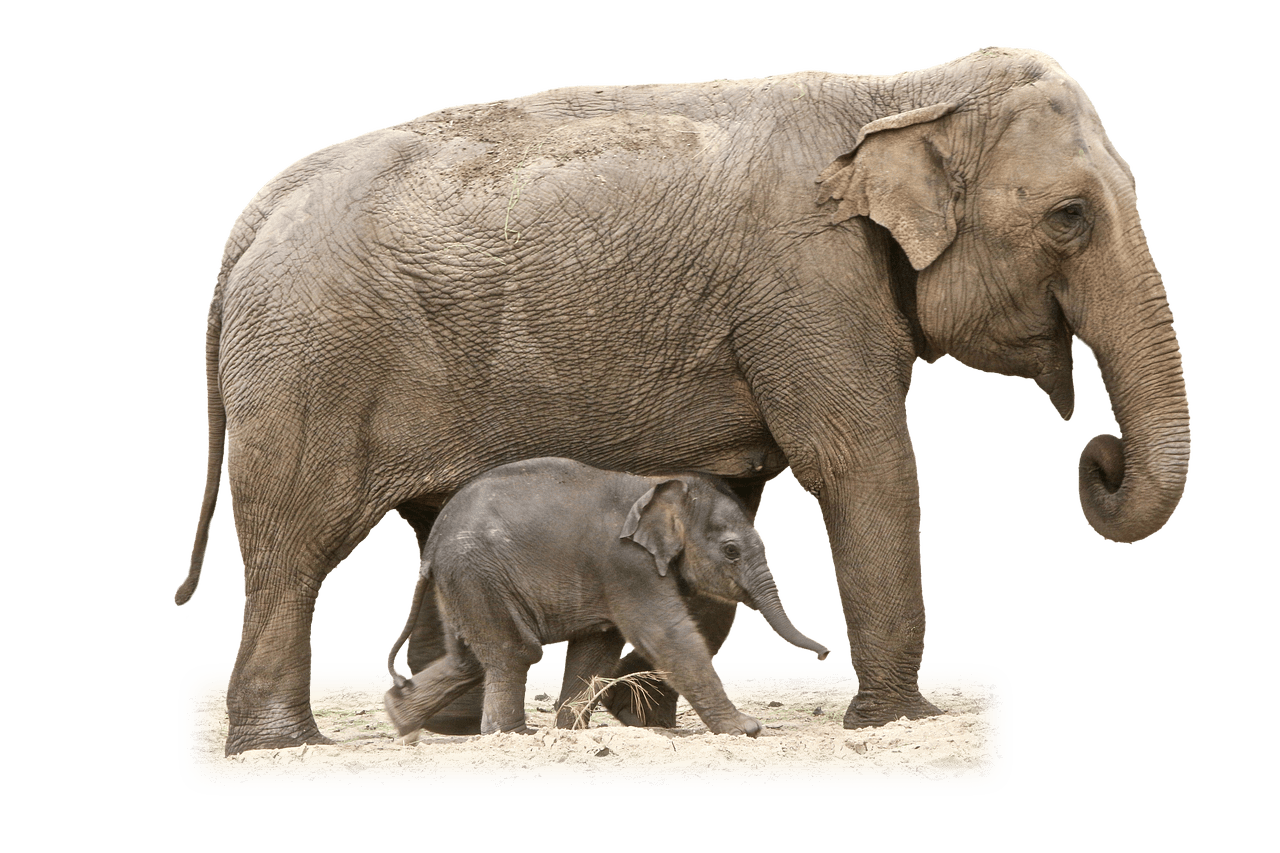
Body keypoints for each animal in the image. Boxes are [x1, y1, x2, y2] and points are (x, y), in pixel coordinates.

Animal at [381, 457, 831, 738]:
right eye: (732, 551)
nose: (826, 654)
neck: (658, 485)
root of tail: (431, 550)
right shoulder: (625, 565)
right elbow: (666, 635)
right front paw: (746, 730)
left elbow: (597, 648)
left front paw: (570, 733)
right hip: (478, 574)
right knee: (514, 652)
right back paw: (511, 735)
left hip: (463, 581)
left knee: (470, 659)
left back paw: (399, 719)